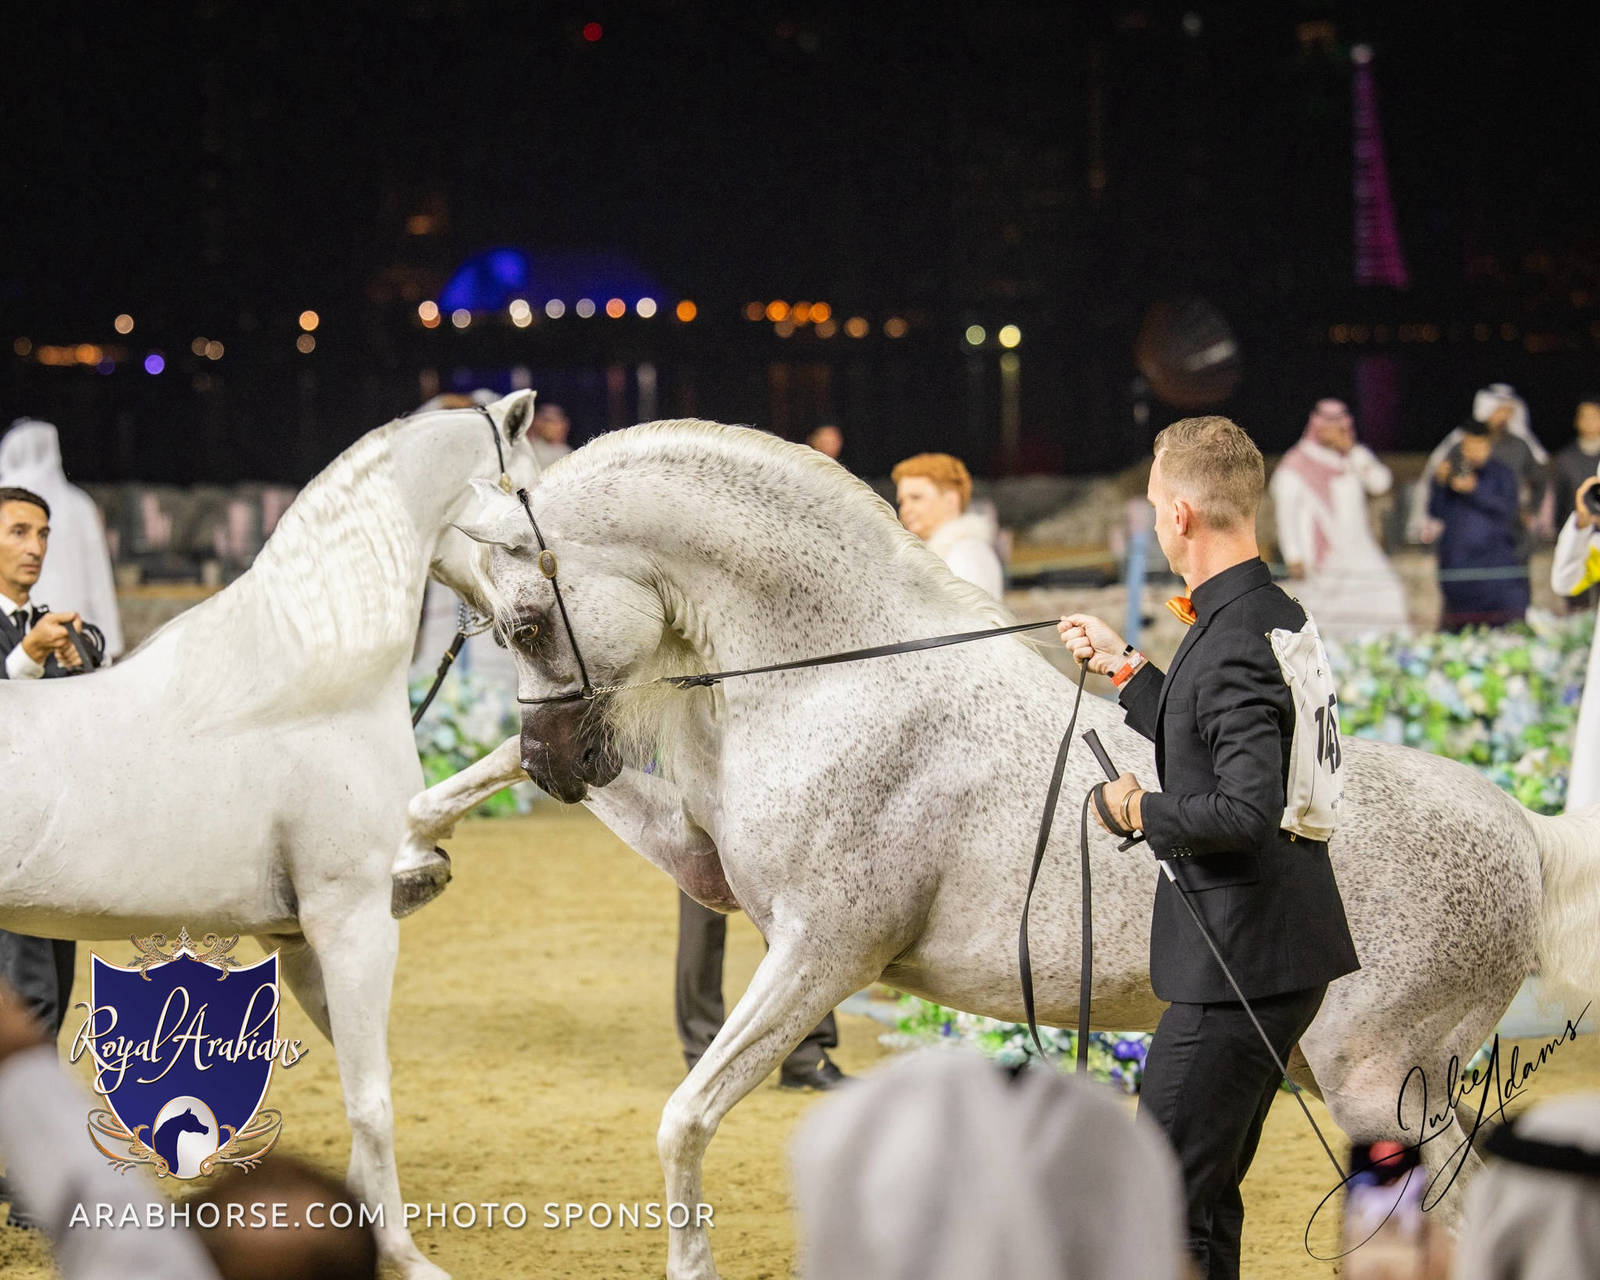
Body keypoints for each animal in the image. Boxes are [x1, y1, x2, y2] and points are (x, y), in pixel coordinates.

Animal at [0, 390, 540, 1279]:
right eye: (529, 493)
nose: (530, 624)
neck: (310, 686)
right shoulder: (354, 925)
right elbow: (372, 1100)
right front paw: (406, 1256)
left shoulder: (299, 940)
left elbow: (365, 1087)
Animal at [430, 419, 1600, 1280]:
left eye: (527, 621)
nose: (559, 763)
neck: (838, 676)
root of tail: (1521, 833)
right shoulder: (706, 867)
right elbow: (495, 776)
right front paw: (415, 854)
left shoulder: (819, 954)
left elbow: (684, 1119)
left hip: (1378, 1085)